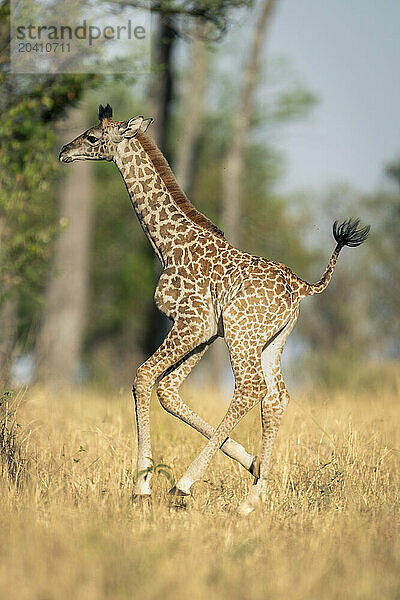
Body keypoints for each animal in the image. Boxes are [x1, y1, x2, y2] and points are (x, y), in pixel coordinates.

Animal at [58, 104, 368, 516]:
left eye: (92, 137)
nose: (64, 151)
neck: (167, 244)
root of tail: (302, 287)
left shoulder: (192, 322)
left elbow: (144, 377)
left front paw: (142, 488)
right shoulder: (205, 332)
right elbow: (168, 390)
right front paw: (253, 464)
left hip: (242, 334)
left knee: (250, 389)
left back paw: (184, 485)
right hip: (270, 342)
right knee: (276, 398)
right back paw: (251, 498)